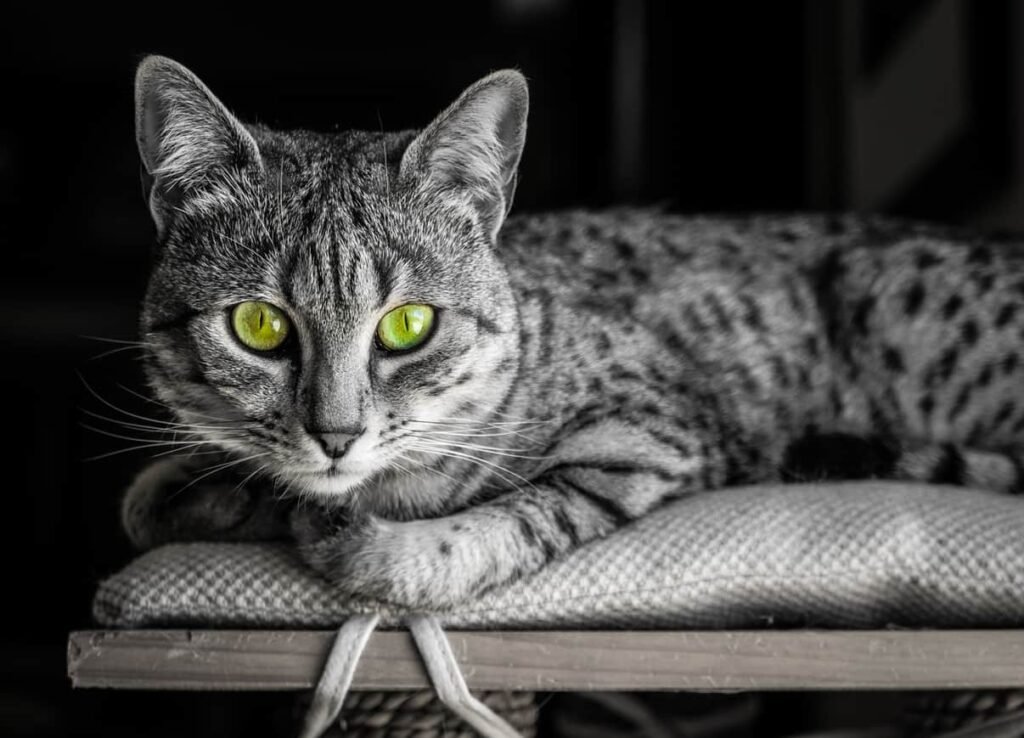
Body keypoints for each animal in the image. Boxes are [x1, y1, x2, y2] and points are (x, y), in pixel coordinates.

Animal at [121, 57, 1024, 605]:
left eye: (409, 325)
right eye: (259, 324)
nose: (335, 435)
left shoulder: (653, 434)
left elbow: (500, 524)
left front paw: (371, 544)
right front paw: (205, 488)